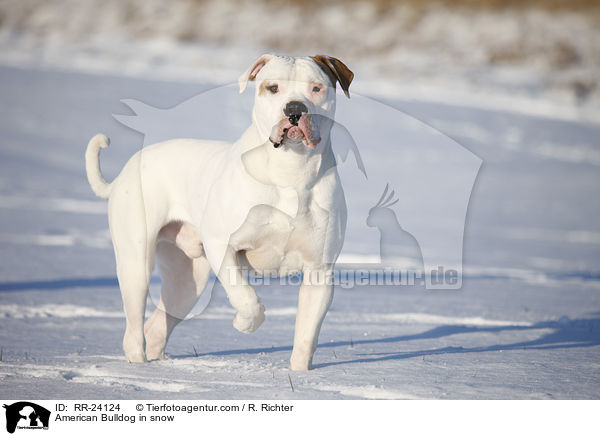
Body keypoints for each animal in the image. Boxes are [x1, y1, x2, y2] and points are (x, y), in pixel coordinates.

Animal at [86, 52, 354, 370]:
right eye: (272, 88)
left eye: (316, 87)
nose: (294, 109)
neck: (291, 171)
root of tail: (122, 175)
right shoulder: (222, 246)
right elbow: (245, 296)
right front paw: (244, 323)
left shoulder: (319, 272)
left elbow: (306, 336)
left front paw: (302, 374)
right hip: (136, 263)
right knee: (134, 327)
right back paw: (138, 365)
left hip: (187, 279)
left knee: (158, 325)